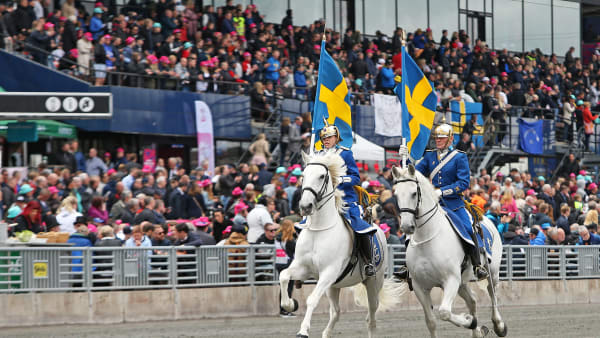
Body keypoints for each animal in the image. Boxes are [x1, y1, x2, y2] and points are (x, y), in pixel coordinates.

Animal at [282, 152, 408, 338]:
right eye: (303, 176)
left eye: (322, 176)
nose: (305, 206)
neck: (319, 230)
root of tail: (378, 229)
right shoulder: (305, 269)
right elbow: (283, 276)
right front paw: (289, 304)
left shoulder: (328, 272)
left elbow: (312, 299)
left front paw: (303, 330)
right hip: (333, 286)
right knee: (336, 312)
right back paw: (326, 333)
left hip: (373, 282)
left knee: (371, 316)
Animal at [392, 164, 508, 338]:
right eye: (396, 195)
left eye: (414, 193)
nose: (406, 226)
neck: (428, 238)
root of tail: (487, 219)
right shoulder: (420, 286)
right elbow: (431, 322)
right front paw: (471, 322)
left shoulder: (451, 280)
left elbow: (444, 312)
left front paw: (468, 320)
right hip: (462, 282)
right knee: (472, 301)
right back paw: (476, 331)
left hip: (491, 272)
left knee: (492, 293)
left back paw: (498, 325)